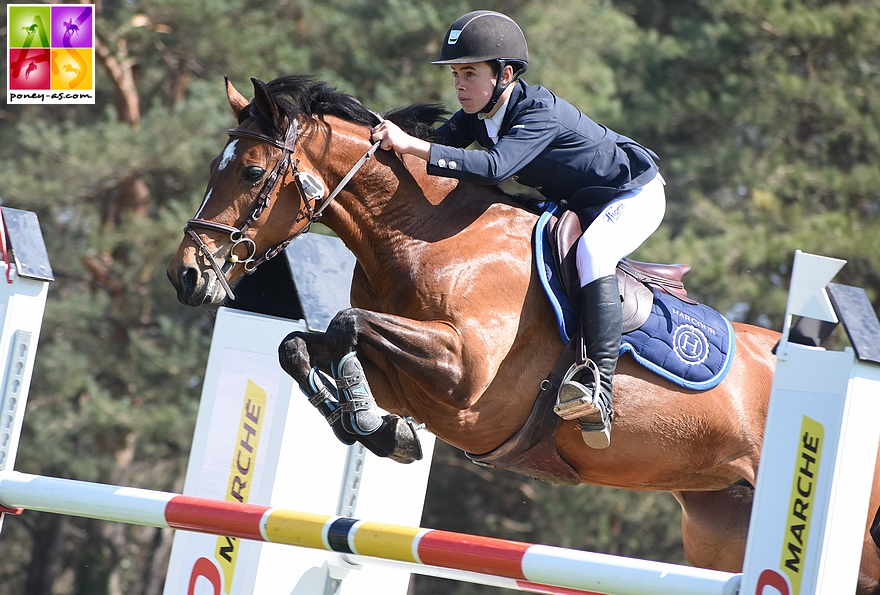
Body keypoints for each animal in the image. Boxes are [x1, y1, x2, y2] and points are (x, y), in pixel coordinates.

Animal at [165, 74, 880, 592]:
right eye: (214, 167)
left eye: (251, 173)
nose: (187, 275)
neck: (422, 238)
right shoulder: (415, 383)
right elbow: (300, 344)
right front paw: (372, 427)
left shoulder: (467, 382)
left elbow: (344, 325)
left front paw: (370, 424)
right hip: (721, 525)